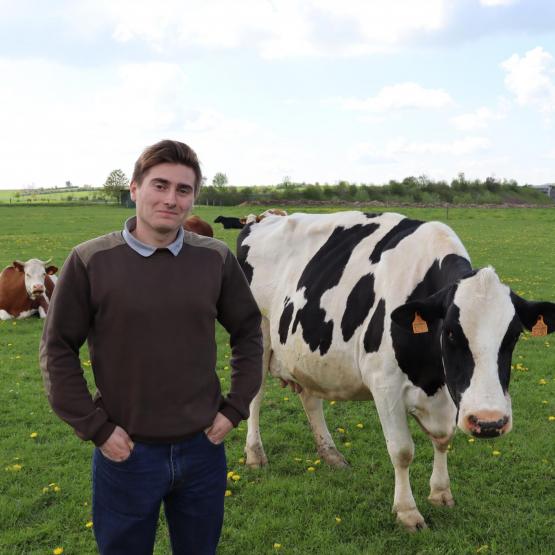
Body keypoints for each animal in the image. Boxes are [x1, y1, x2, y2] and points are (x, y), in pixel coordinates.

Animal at [239, 211, 555, 532]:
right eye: (450, 332)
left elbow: (443, 438)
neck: (432, 378)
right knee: (255, 395)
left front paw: (441, 493)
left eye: (513, 336)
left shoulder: (447, 395)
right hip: (259, 334)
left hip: (304, 353)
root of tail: (261, 218)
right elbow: (402, 450)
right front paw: (407, 511)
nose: (489, 422)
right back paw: (255, 454)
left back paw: (331, 455)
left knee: (310, 398)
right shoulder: (385, 385)